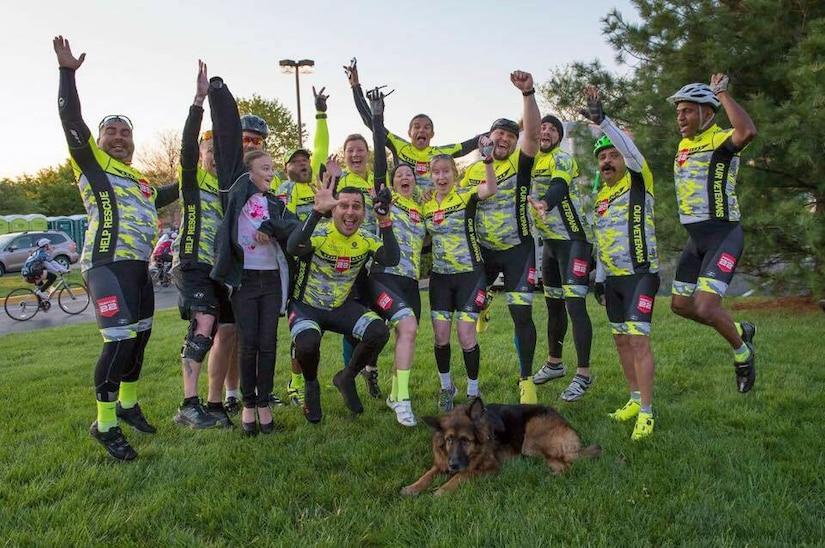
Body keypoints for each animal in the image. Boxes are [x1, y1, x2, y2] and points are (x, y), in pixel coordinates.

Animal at [400, 398, 600, 496]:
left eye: (465, 440)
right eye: (449, 439)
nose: (453, 465)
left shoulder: (490, 468)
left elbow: (462, 475)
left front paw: (441, 490)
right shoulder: (441, 462)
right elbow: (427, 474)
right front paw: (412, 488)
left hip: (531, 443)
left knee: (566, 465)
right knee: (561, 465)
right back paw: (546, 478)